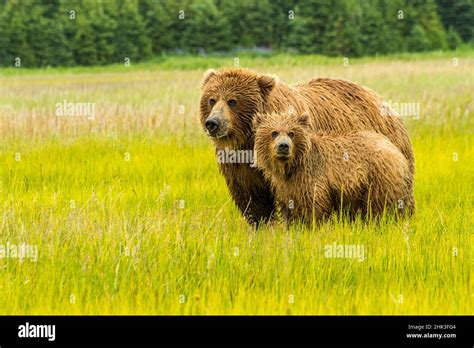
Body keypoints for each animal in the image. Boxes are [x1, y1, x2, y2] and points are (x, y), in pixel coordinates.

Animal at [198, 68, 412, 226]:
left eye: (233, 101)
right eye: (211, 99)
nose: (213, 123)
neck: (249, 142)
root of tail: (379, 98)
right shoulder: (238, 163)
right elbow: (252, 199)